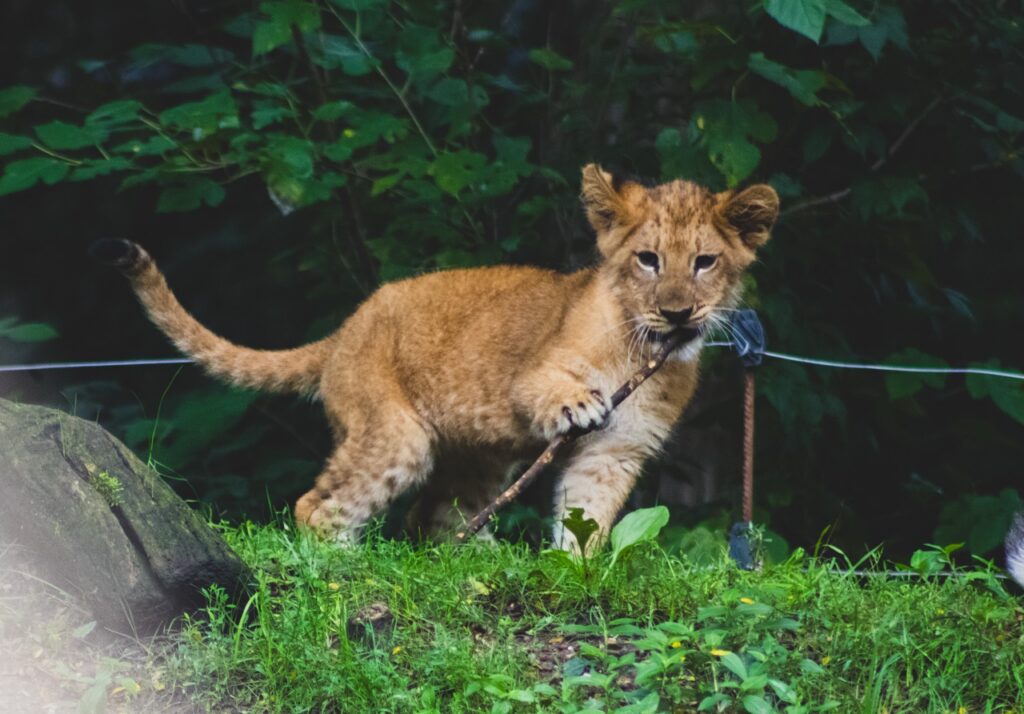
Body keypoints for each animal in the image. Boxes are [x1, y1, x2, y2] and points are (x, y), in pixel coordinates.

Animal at [92, 164, 779, 551]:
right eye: (648, 260)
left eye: (705, 262)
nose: (678, 313)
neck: (643, 347)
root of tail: (345, 330)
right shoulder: (530, 373)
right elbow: (546, 387)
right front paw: (576, 403)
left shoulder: (618, 452)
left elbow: (587, 517)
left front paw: (570, 572)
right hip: (395, 434)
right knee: (316, 507)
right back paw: (344, 569)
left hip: (479, 459)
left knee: (433, 518)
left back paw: (471, 560)